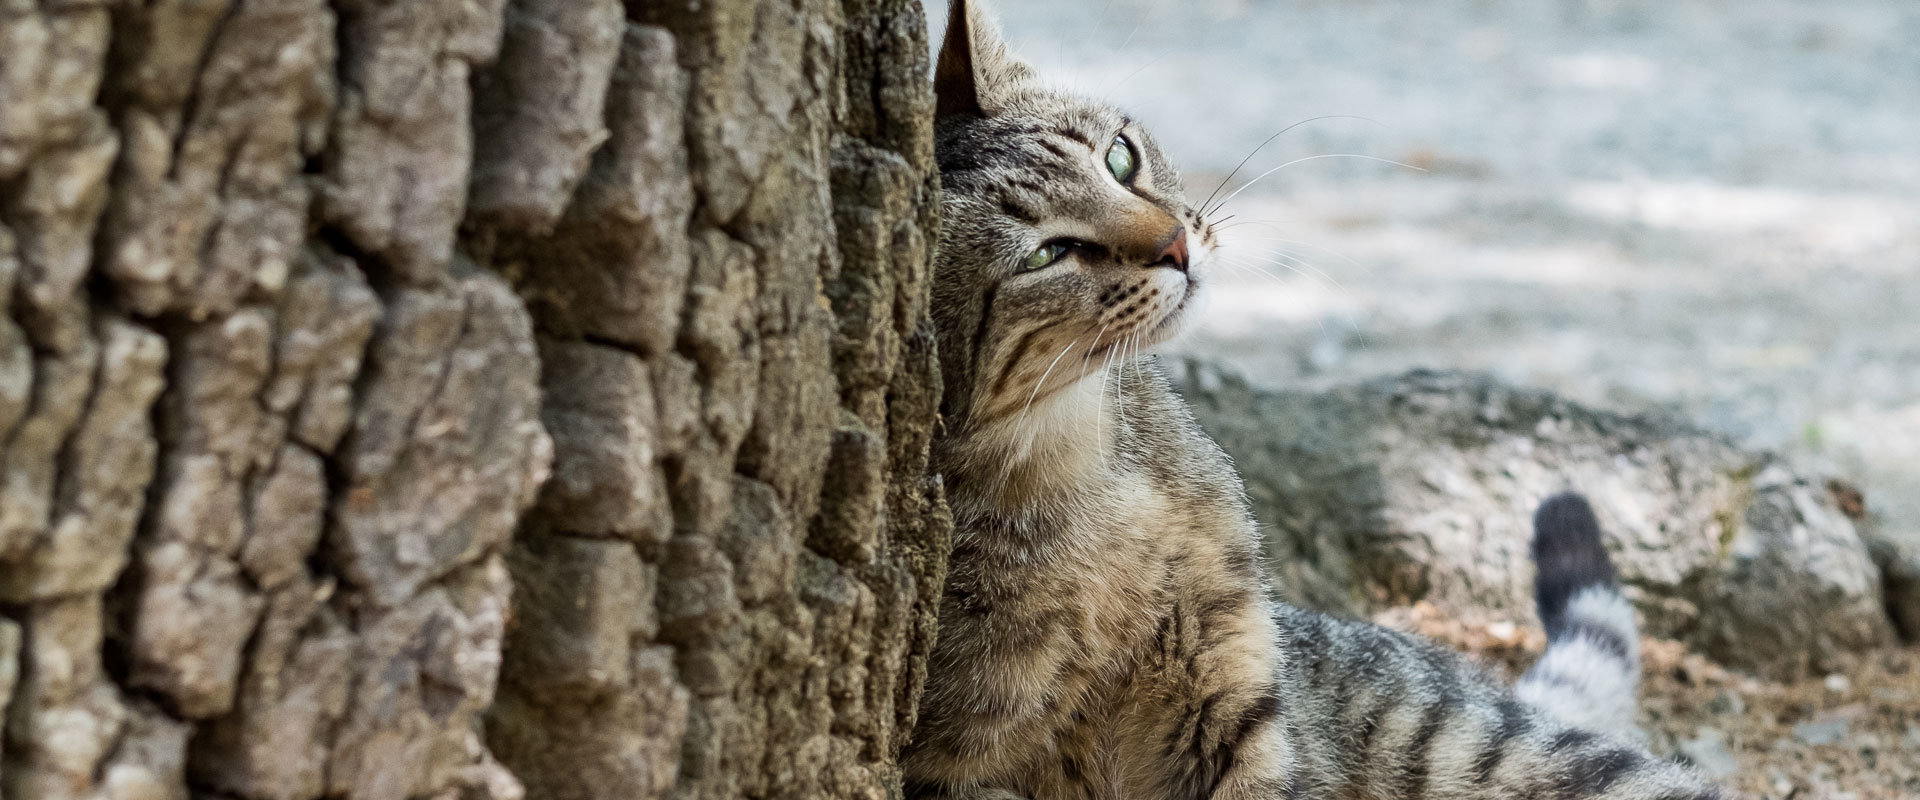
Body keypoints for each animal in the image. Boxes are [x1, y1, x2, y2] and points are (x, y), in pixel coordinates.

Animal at [906, 3, 1735, 794]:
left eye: (1120, 157)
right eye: (1048, 254)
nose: (1176, 243)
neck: (1072, 453)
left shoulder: (1233, 687)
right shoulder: (952, 762)